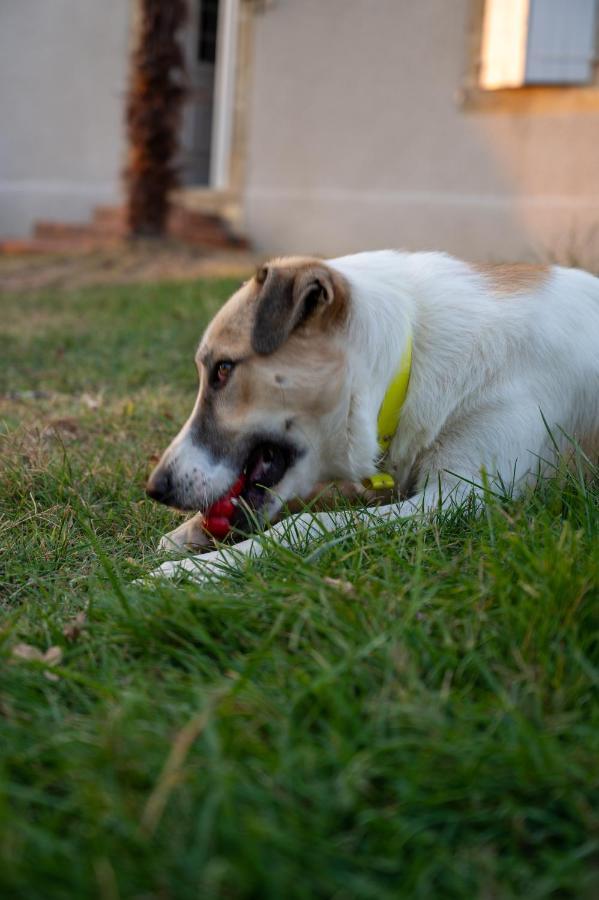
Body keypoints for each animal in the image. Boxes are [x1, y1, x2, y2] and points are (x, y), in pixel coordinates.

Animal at [145, 250, 599, 580]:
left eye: (223, 369)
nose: (155, 489)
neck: (412, 359)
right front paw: (189, 534)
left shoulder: (457, 499)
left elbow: (308, 524)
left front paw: (191, 570)